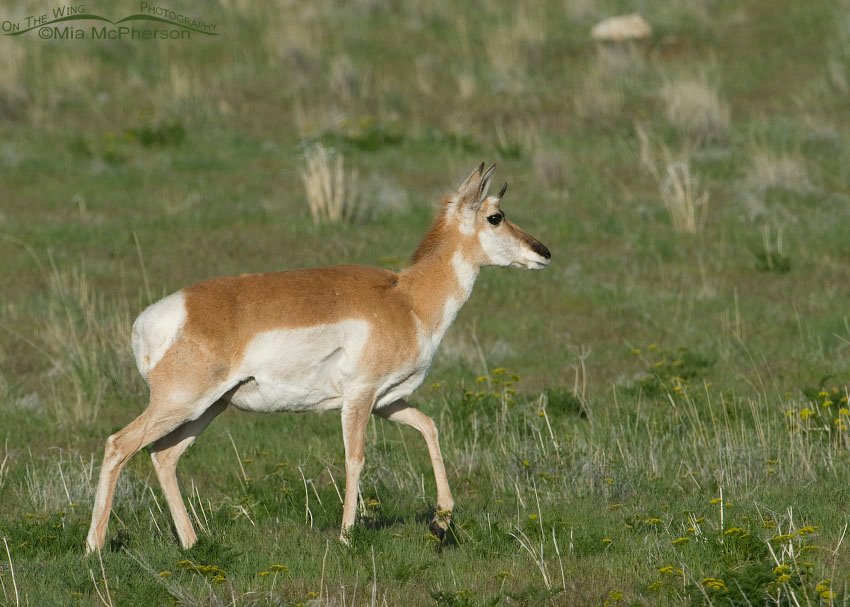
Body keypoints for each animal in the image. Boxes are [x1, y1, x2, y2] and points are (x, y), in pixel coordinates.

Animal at [85, 163, 551, 552]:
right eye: (495, 216)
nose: (544, 252)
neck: (407, 299)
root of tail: (153, 318)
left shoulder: (386, 401)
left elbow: (429, 427)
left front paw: (441, 521)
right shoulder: (359, 398)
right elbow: (355, 458)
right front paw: (347, 536)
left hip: (208, 408)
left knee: (163, 456)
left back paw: (192, 542)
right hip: (179, 404)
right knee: (118, 445)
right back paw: (95, 546)